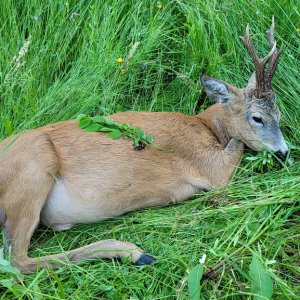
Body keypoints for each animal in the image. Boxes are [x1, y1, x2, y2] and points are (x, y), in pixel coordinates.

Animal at [0, 18, 288, 272]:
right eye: (257, 117)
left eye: (279, 114)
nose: (284, 152)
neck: (207, 126)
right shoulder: (211, 167)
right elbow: (237, 145)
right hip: (34, 165)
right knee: (17, 261)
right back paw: (133, 252)